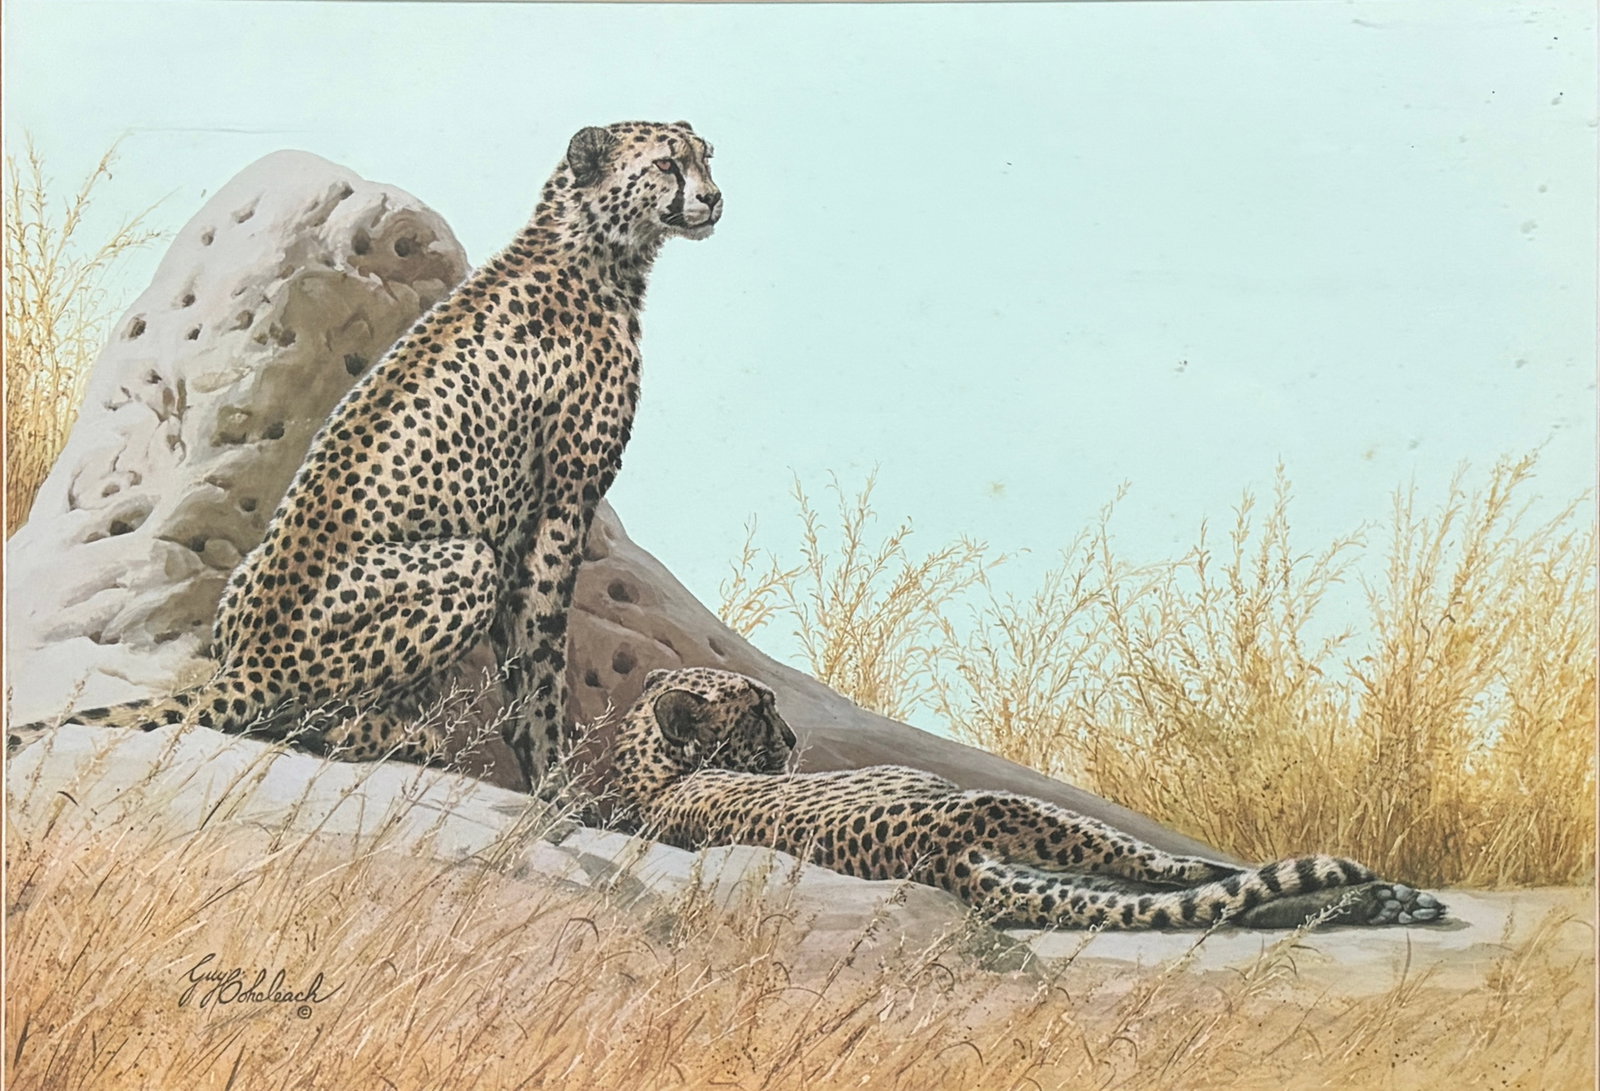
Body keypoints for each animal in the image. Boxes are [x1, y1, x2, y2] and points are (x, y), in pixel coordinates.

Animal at [9, 121, 721, 792]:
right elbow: (542, 657)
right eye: (667, 164)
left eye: (706, 156)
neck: (587, 248)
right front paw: (556, 781)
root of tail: (248, 664)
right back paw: (403, 735)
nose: (714, 198)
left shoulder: (527, 521)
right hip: (466, 565)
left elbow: (522, 659)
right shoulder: (562, 503)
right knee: (315, 723)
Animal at [610, 668, 1448, 930]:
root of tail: (948, 863)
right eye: (757, 709)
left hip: (1057, 872)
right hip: (1047, 828)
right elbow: (1204, 873)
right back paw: (1383, 893)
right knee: (1196, 879)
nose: (788, 736)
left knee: (1208, 902)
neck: (653, 778)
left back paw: (1387, 902)